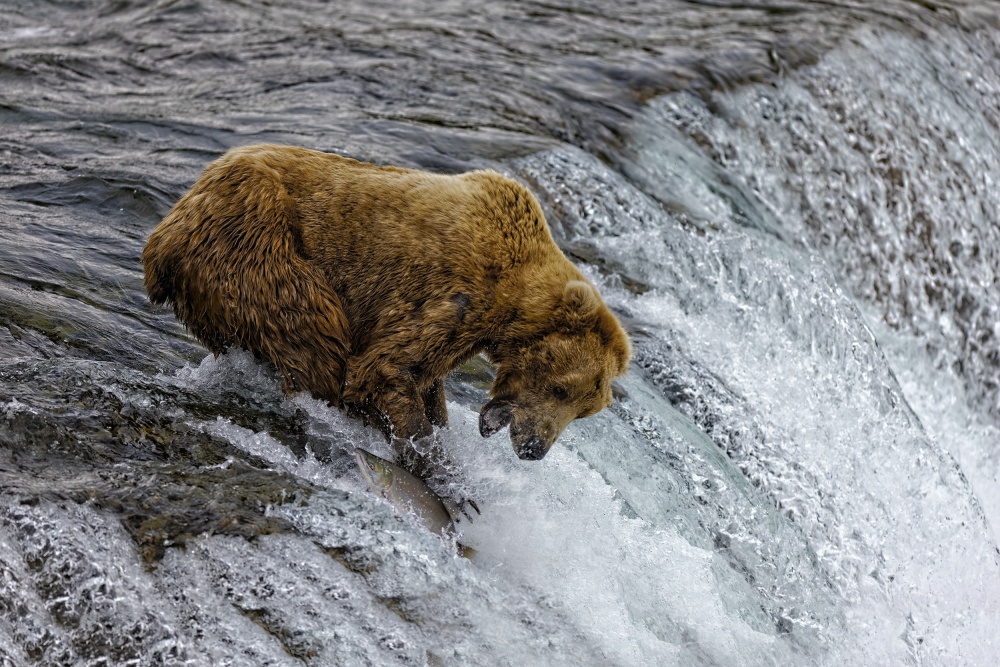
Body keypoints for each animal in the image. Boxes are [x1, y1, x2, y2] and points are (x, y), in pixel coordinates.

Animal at [142, 144, 630, 478]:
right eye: (562, 389)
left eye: (587, 410)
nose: (535, 448)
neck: (512, 305)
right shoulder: (452, 295)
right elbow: (384, 369)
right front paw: (436, 461)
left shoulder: (463, 332)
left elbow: (427, 380)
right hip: (256, 245)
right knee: (316, 340)